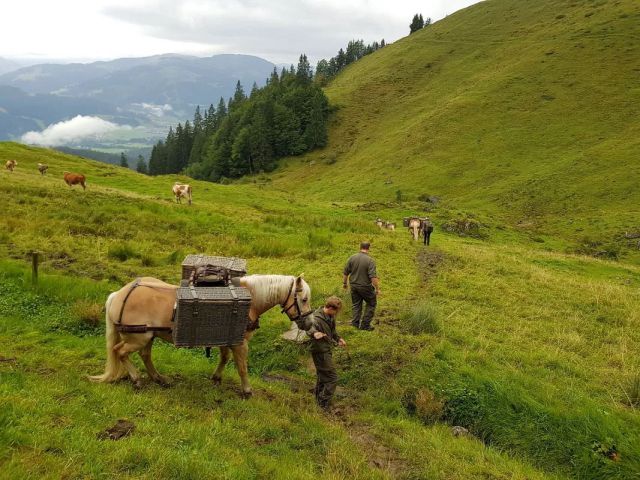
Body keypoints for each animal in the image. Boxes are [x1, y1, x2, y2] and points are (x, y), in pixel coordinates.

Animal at [89, 274, 312, 398]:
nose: (308, 323)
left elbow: (224, 358)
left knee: (144, 355)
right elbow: (242, 367)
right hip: (138, 338)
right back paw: (136, 379)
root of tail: (120, 294)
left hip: (147, 335)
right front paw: (247, 390)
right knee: (120, 352)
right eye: (304, 299)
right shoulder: (240, 343)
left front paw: (216, 377)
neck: (247, 301)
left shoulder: (225, 338)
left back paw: (159, 378)